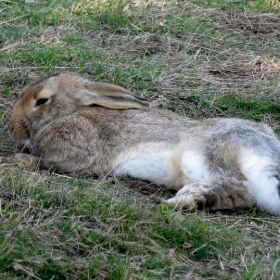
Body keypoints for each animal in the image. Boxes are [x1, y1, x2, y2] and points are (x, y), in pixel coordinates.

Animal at [7, 71, 280, 214]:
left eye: (42, 100)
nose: (11, 128)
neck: (69, 113)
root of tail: (269, 151)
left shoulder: (78, 153)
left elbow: (47, 163)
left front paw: (17, 160)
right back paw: (193, 200)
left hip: (206, 154)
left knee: (239, 185)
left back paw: (181, 201)